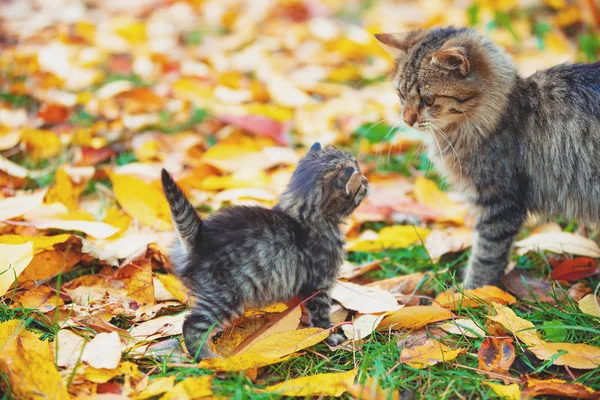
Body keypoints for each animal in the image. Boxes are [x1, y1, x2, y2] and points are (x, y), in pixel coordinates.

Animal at [159, 143, 368, 360]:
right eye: (361, 182)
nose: (367, 180)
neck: (303, 215)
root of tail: (200, 238)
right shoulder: (319, 285)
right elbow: (321, 317)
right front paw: (328, 336)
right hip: (223, 296)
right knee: (191, 325)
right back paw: (209, 359)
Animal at [376, 26, 600, 290]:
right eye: (401, 95)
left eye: (427, 100)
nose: (407, 120)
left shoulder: (500, 203)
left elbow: (485, 257)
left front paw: (472, 293)